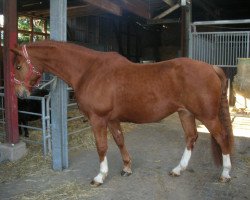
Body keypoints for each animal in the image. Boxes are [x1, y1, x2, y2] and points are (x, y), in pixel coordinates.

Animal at [10, 40, 233, 186]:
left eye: (18, 66)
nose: (20, 94)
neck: (89, 71)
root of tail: (212, 68)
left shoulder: (98, 119)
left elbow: (101, 147)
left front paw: (100, 176)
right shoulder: (112, 120)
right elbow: (119, 140)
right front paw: (126, 168)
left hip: (208, 116)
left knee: (221, 138)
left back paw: (225, 173)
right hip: (185, 113)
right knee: (191, 137)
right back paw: (178, 169)